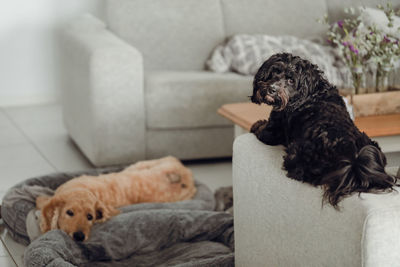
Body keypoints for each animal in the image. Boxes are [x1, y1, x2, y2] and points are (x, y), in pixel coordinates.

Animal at [250, 51, 396, 207]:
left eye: (291, 80)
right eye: (274, 72)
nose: (271, 89)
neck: (313, 92)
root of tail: (351, 157)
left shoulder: (271, 131)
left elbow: (261, 129)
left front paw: (257, 124)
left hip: (297, 152)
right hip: (371, 144)